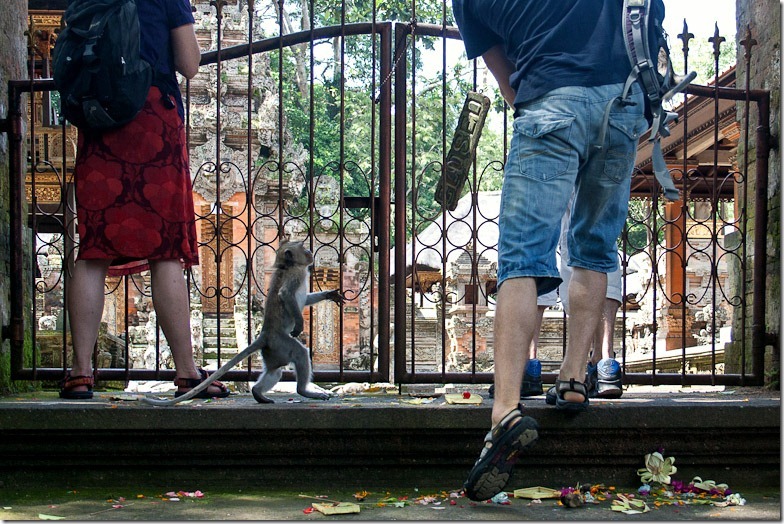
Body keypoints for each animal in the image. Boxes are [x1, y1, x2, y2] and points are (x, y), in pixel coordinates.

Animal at [142, 239, 344, 408]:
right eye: (302, 247)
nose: (310, 251)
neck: (288, 266)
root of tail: (265, 335)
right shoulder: (295, 276)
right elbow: (286, 295)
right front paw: (300, 324)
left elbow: (305, 299)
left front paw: (329, 294)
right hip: (281, 343)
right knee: (300, 353)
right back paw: (304, 391)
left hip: (273, 351)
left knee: (275, 371)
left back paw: (258, 393)